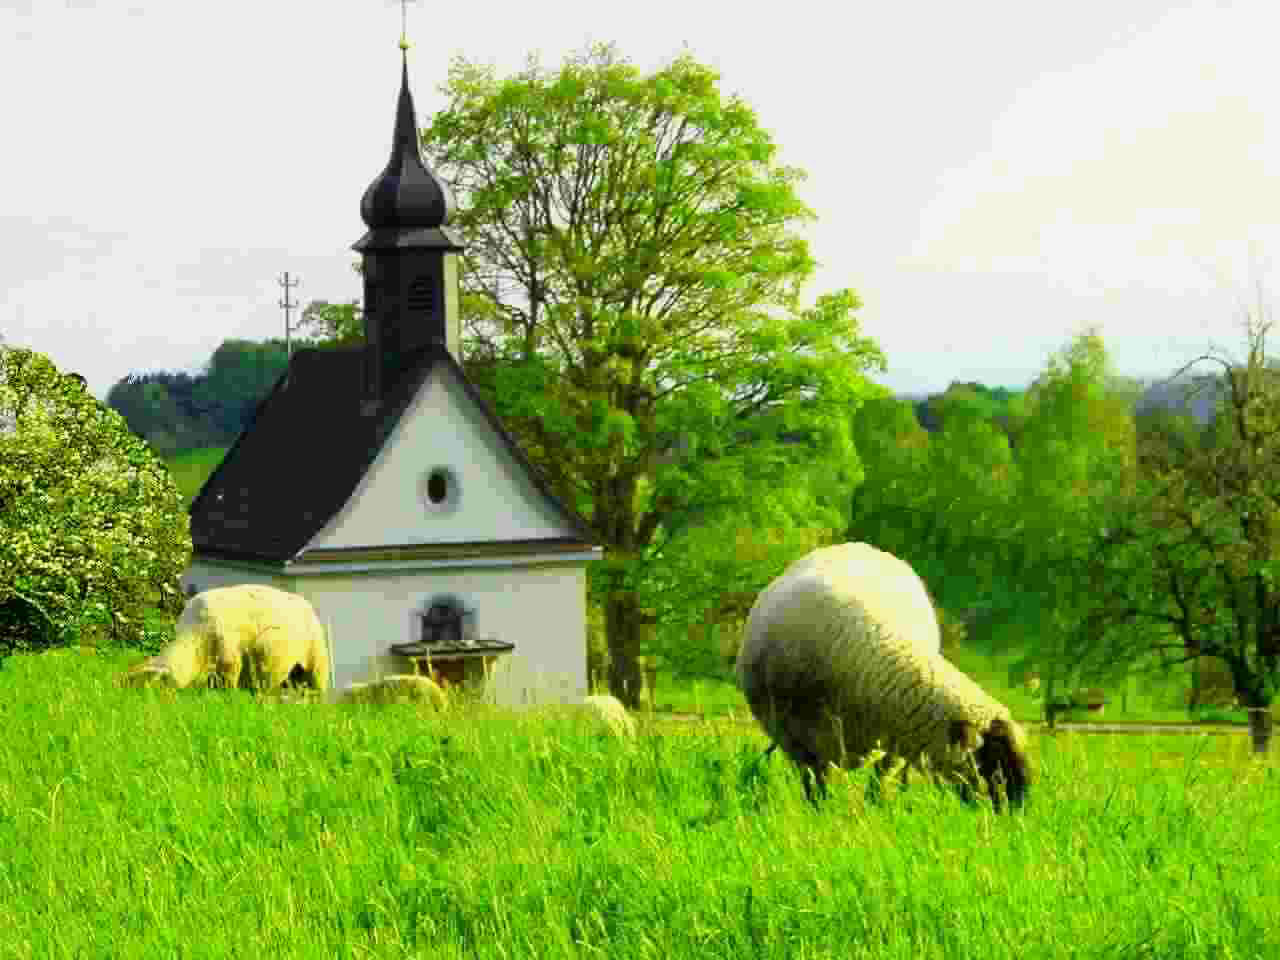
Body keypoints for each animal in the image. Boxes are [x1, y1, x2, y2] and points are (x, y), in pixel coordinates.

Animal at [736, 542, 1029, 811]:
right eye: (989, 760)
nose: (1015, 811)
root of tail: (853, 545)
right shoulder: (803, 741)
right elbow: (816, 784)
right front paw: (820, 812)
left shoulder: (897, 735)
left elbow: (880, 780)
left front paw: (879, 808)